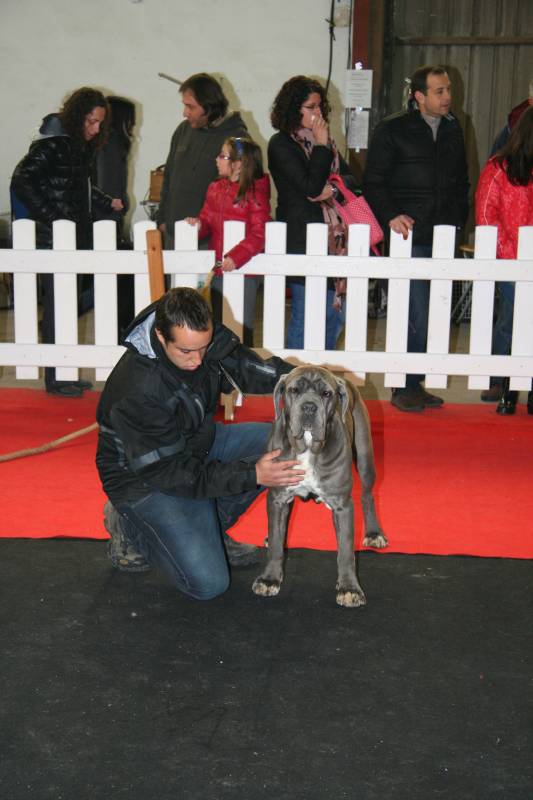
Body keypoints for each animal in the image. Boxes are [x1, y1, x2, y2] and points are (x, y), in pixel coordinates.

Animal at [252, 366, 388, 607]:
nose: (309, 406)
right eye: (294, 390)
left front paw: (349, 588)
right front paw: (269, 579)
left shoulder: (342, 506)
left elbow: (346, 551)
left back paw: (374, 533)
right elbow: (276, 543)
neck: (307, 447)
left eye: (326, 394)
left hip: (365, 458)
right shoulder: (277, 498)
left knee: (367, 495)